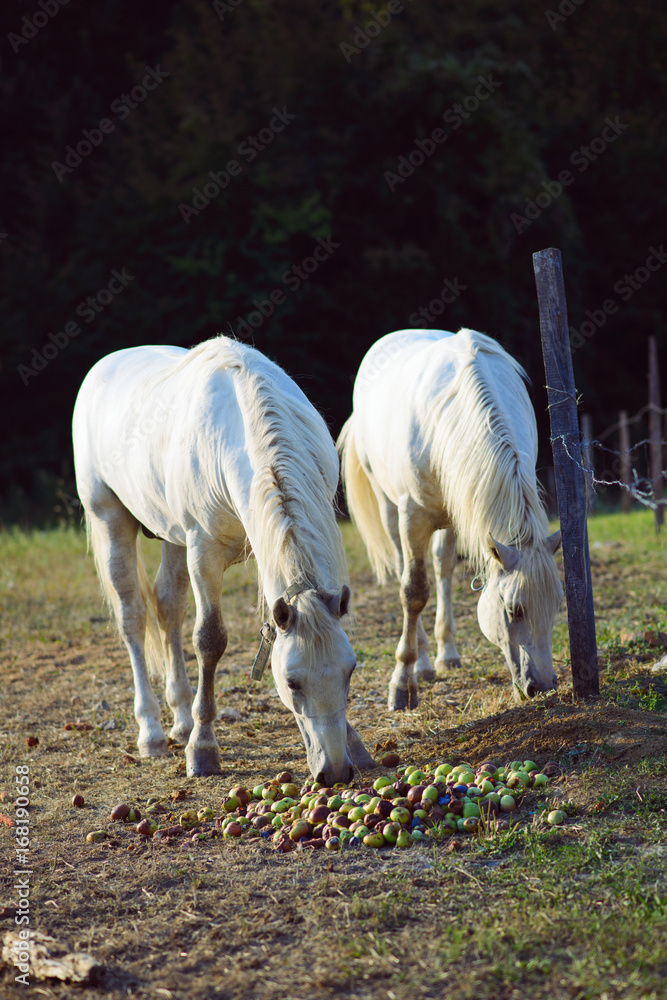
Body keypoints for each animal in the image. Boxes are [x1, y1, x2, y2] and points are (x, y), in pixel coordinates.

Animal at [72, 334, 373, 783]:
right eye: (292, 682)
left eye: (350, 671)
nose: (335, 771)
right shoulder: (204, 552)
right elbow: (209, 641)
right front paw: (203, 750)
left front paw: (355, 742)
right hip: (111, 520)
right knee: (133, 618)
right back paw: (153, 733)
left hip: (173, 537)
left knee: (168, 606)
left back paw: (180, 721)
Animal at [338, 328, 563, 710]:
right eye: (514, 610)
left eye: (558, 607)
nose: (543, 686)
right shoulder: (412, 516)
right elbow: (413, 592)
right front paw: (403, 683)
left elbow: (440, 575)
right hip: (390, 508)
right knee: (405, 571)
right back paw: (424, 662)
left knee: (442, 568)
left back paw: (446, 653)